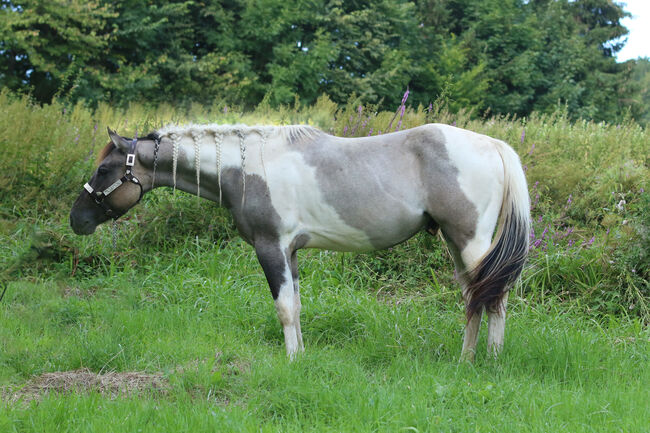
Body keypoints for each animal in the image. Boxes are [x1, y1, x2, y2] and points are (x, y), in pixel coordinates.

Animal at [69, 123, 528, 360]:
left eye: (106, 169)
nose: (77, 220)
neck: (248, 167)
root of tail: (493, 145)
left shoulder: (271, 247)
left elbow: (285, 308)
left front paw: (291, 360)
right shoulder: (290, 252)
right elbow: (298, 306)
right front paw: (302, 355)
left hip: (471, 242)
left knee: (494, 298)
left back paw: (489, 360)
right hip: (457, 244)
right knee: (474, 298)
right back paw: (467, 358)